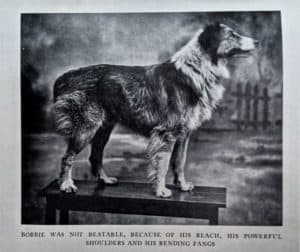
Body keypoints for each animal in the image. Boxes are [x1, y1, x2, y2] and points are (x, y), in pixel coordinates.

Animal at [52, 22, 258, 197]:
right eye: (232, 35)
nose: (257, 42)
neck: (196, 70)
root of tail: (67, 76)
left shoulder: (183, 133)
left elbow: (180, 162)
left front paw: (182, 186)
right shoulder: (166, 132)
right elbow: (163, 163)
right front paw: (161, 190)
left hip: (103, 128)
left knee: (95, 156)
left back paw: (105, 180)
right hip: (86, 126)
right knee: (67, 156)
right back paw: (66, 184)